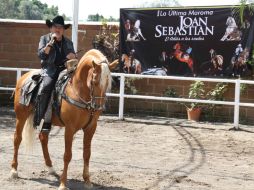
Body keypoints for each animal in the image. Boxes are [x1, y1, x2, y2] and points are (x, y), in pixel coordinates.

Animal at [10, 49, 119, 190]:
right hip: (21, 116)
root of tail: (24, 77)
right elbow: (67, 155)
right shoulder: (70, 128)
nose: (97, 107)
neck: (77, 91)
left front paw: (87, 181)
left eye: (107, 83)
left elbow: (87, 154)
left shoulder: (91, 128)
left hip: (47, 120)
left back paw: (51, 168)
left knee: (43, 138)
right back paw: (14, 170)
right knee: (17, 139)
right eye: (94, 81)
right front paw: (63, 183)